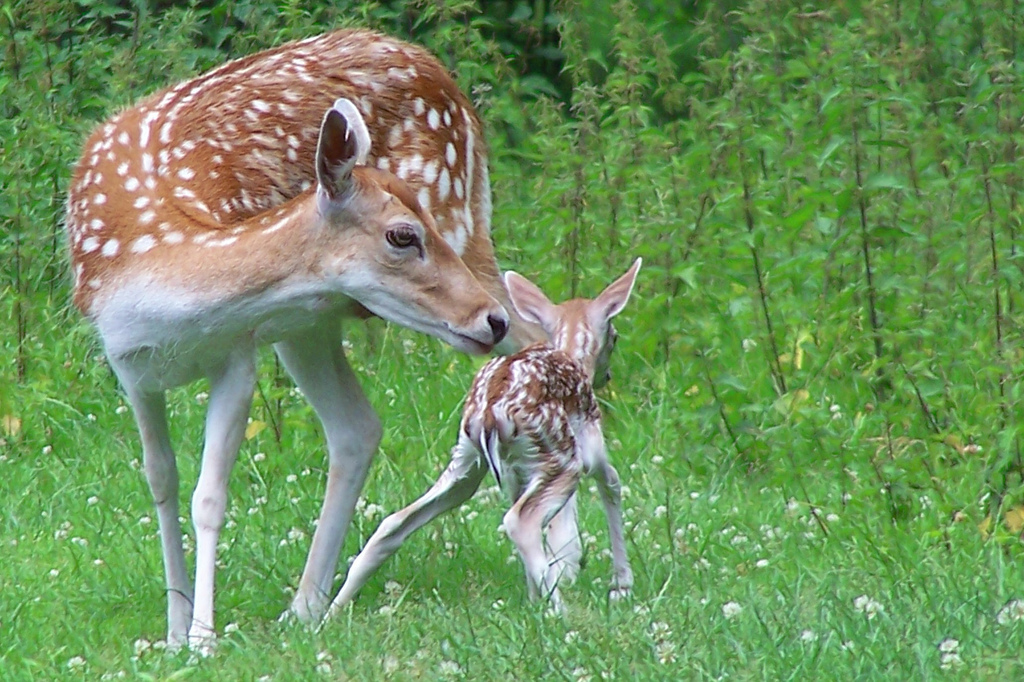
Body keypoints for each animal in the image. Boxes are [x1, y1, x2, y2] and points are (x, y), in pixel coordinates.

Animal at [64, 30, 544, 647]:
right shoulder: (130, 366)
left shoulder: (238, 353)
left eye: (420, 227)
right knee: (357, 426)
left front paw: (203, 637)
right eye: (402, 234)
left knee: (550, 334)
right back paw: (309, 605)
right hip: (308, 322)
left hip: (460, 235)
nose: (488, 321)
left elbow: (209, 496)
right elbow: (162, 480)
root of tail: (438, 70)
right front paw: (174, 632)